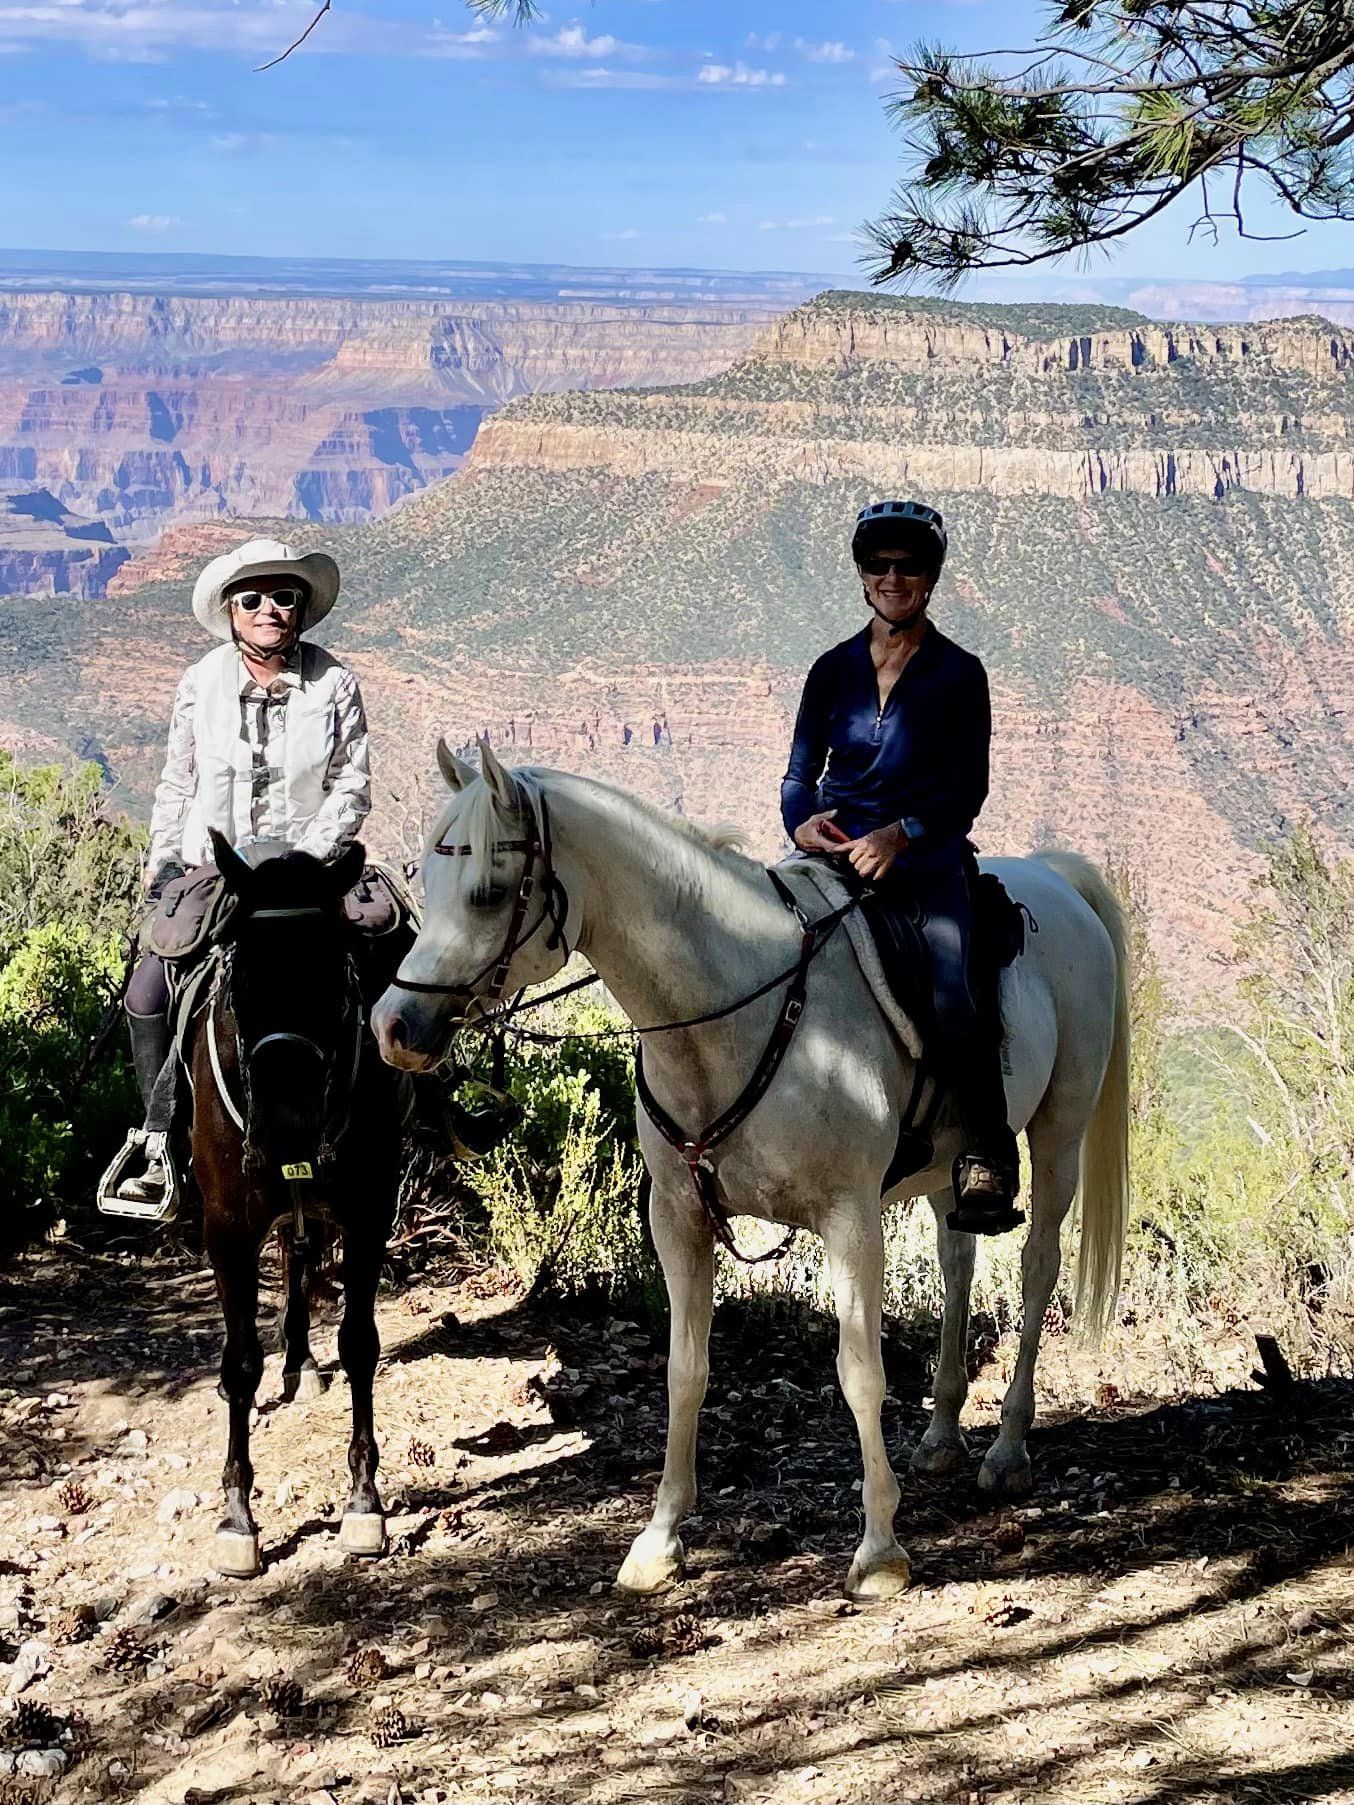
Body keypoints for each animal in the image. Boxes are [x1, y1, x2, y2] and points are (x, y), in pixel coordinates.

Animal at [191, 830, 406, 1581]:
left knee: (300, 1254)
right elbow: (238, 1361)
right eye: (236, 982)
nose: (285, 1128)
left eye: (337, 981)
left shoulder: (369, 1215)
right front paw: (236, 1516)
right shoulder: (227, 1228)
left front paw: (365, 1500)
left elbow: (361, 1344)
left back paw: (302, 1363)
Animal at [373, 740, 1133, 1602]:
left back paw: (1007, 1448)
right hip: (949, 1168)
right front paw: (659, 1539)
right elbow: (685, 1370)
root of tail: (1053, 877)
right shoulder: (678, 1217)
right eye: (428, 882)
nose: (393, 1027)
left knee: (1038, 1269)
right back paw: (942, 1435)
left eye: (490, 891)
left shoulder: (850, 1219)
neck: (731, 1010)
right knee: (958, 1261)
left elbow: (860, 1372)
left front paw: (880, 1548)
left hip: (1060, 1132)